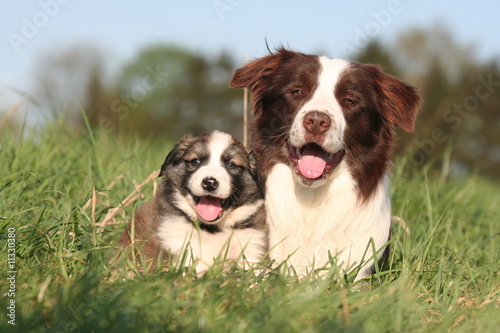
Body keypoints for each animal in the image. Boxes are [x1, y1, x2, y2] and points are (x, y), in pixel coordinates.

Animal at [118, 131, 268, 272]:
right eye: (196, 161)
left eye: (231, 164)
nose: (209, 183)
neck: (213, 229)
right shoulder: (178, 245)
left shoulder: (252, 247)